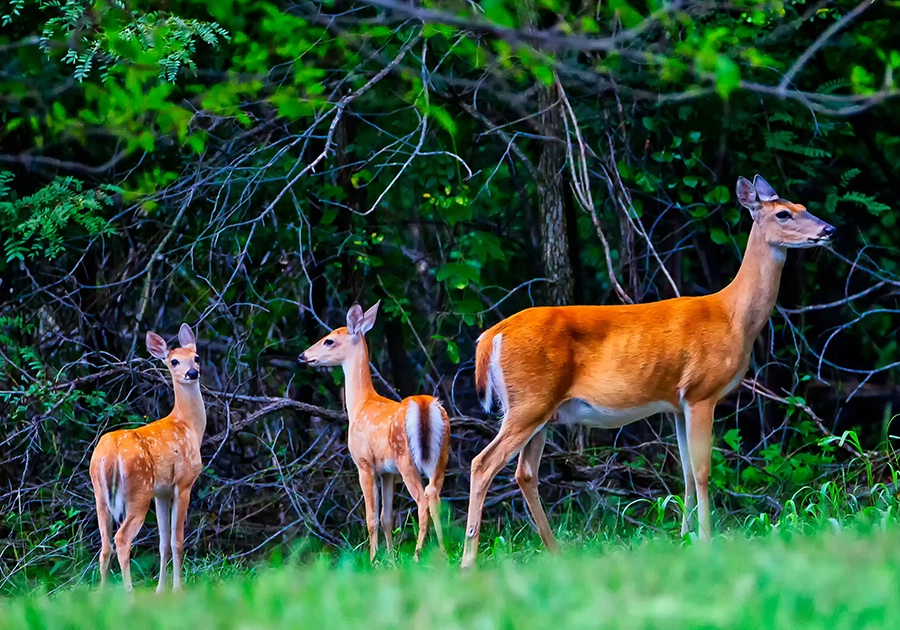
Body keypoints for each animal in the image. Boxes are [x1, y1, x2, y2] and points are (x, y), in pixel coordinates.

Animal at [88, 324, 206, 596]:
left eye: (196, 357)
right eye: (174, 361)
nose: (192, 373)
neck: (189, 426)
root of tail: (110, 452)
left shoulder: (161, 492)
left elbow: (163, 542)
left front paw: (161, 590)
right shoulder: (183, 482)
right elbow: (177, 540)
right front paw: (178, 590)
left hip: (100, 494)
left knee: (104, 545)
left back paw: (102, 594)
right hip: (138, 489)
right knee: (121, 539)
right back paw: (129, 593)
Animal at [298, 304, 450, 564]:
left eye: (329, 340)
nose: (303, 355)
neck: (361, 404)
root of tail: (423, 406)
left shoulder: (364, 463)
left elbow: (371, 518)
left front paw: (373, 560)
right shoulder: (387, 472)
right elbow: (386, 517)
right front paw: (390, 559)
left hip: (406, 457)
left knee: (422, 501)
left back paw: (418, 555)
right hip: (441, 455)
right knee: (435, 495)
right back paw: (442, 552)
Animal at [464, 175, 836, 572]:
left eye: (802, 206)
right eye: (783, 214)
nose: (829, 230)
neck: (732, 317)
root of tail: (491, 335)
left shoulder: (677, 404)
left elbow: (685, 472)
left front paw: (685, 538)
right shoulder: (702, 393)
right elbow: (703, 471)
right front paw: (707, 541)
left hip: (541, 410)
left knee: (525, 473)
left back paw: (556, 552)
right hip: (530, 401)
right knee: (482, 463)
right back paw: (468, 560)